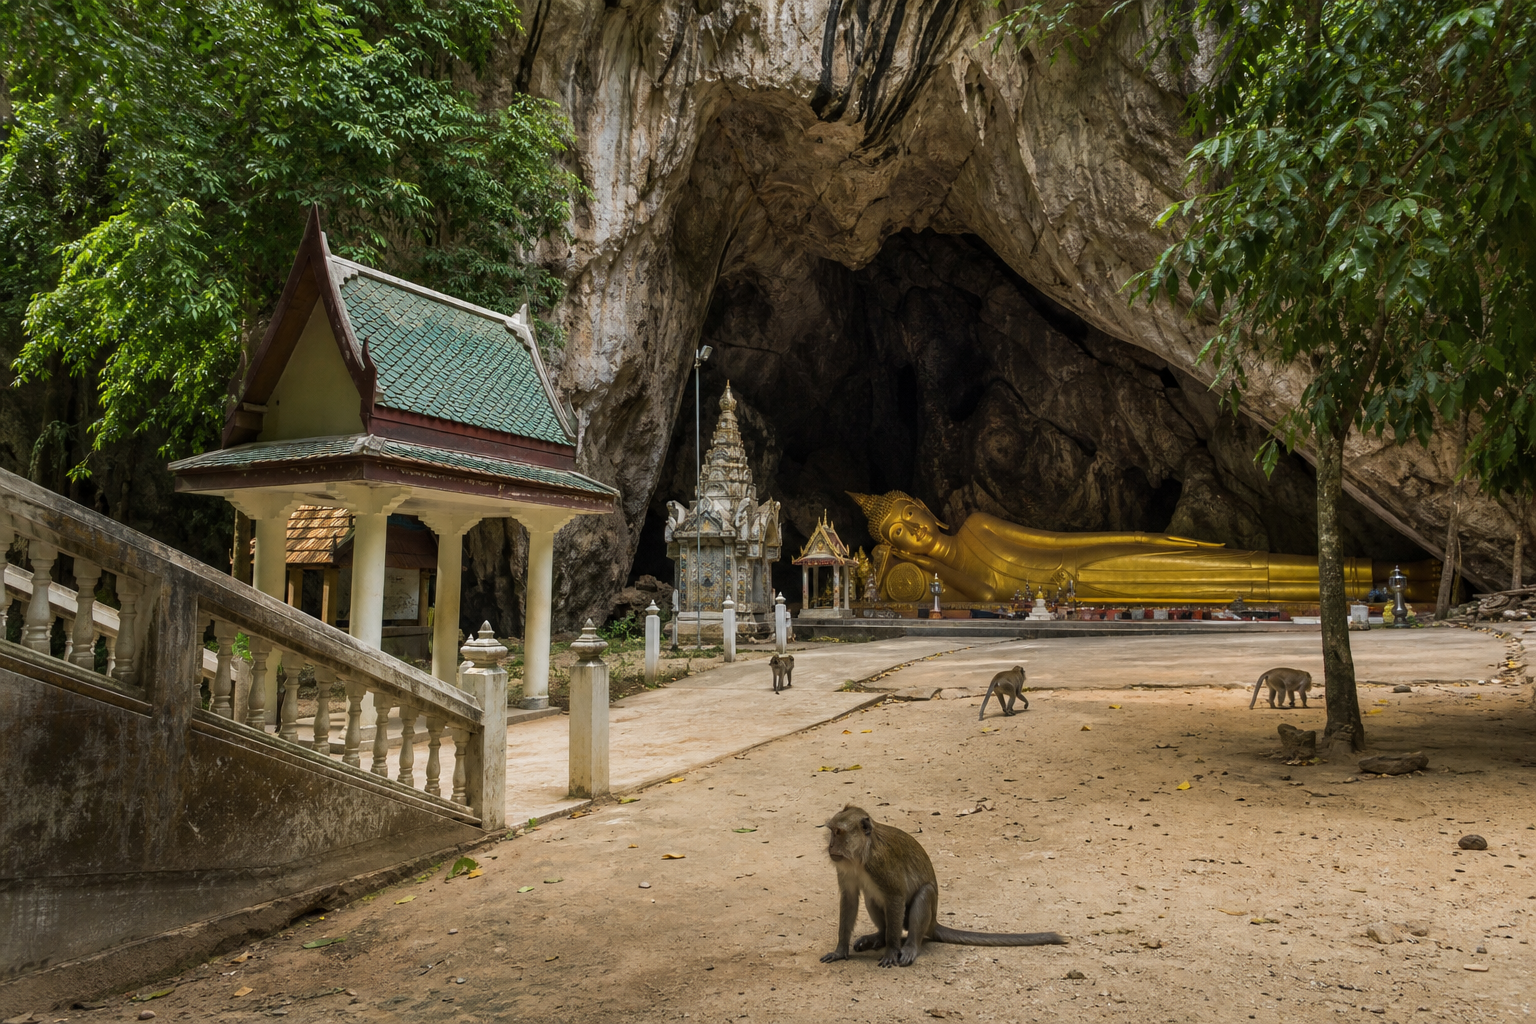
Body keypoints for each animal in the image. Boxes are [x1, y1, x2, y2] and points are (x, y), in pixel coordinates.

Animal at [820, 804, 1065, 967]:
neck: (861, 856)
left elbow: (895, 896)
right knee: (873, 899)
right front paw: (840, 950)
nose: (830, 846)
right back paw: (879, 936)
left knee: (923, 895)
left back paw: (909, 946)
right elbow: (850, 899)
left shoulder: (880, 865)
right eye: (832, 832)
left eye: (839, 833)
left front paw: (891, 950)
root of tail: (933, 923)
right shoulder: (845, 868)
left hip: (922, 920)